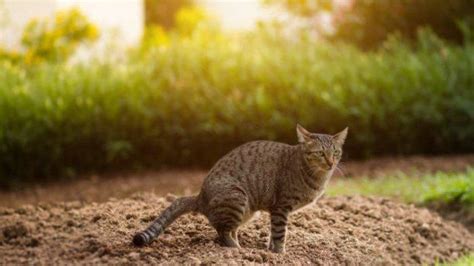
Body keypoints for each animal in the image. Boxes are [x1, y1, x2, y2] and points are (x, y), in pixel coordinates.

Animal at [133, 124, 348, 254]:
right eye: (320, 153)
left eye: (336, 152)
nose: (331, 162)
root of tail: (200, 196)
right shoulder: (281, 207)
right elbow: (280, 233)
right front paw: (280, 254)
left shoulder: (275, 210)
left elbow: (273, 234)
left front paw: (270, 250)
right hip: (237, 197)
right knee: (222, 232)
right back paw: (237, 249)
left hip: (247, 210)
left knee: (229, 229)